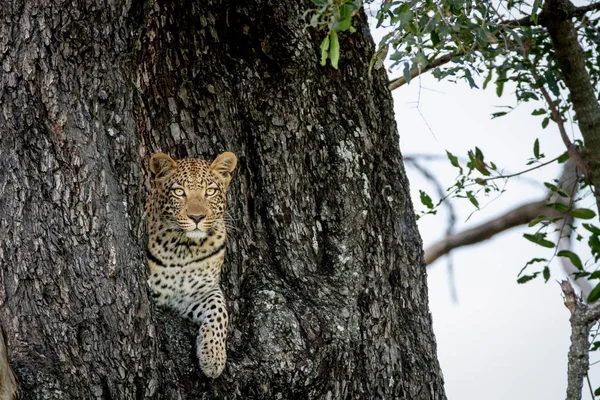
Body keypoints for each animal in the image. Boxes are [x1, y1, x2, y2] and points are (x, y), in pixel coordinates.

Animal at [145, 151, 237, 378]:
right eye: (179, 192)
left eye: (210, 191)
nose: (197, 217)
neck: (185, 249)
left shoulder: (199, 292)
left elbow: (220, 311)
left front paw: (213, 357)